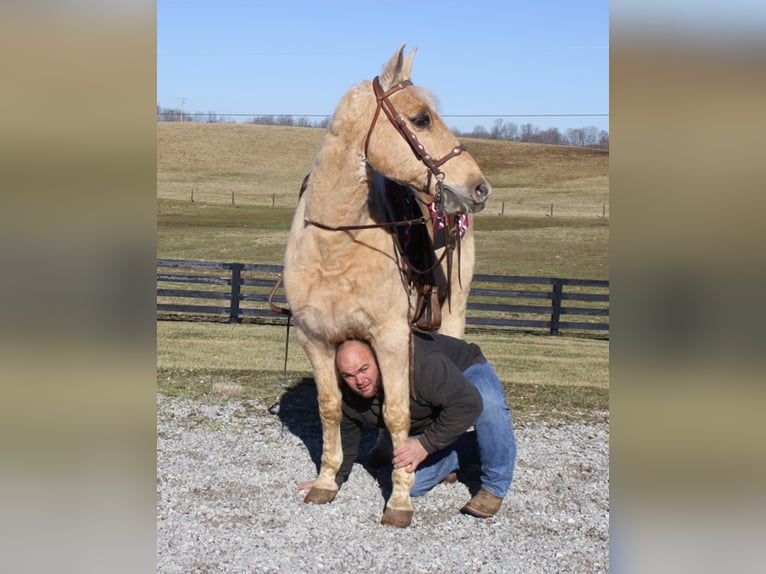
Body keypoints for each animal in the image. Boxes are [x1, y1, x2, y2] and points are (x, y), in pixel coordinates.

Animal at [284, 44, 492, 532]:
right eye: (421, 119)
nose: (479, 188)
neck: (334, 244)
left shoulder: (391, 336)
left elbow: (398, 413)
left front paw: (399, 501)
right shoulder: (315, 339)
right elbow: (330, 409)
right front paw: (325, 482)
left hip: (452, 314)